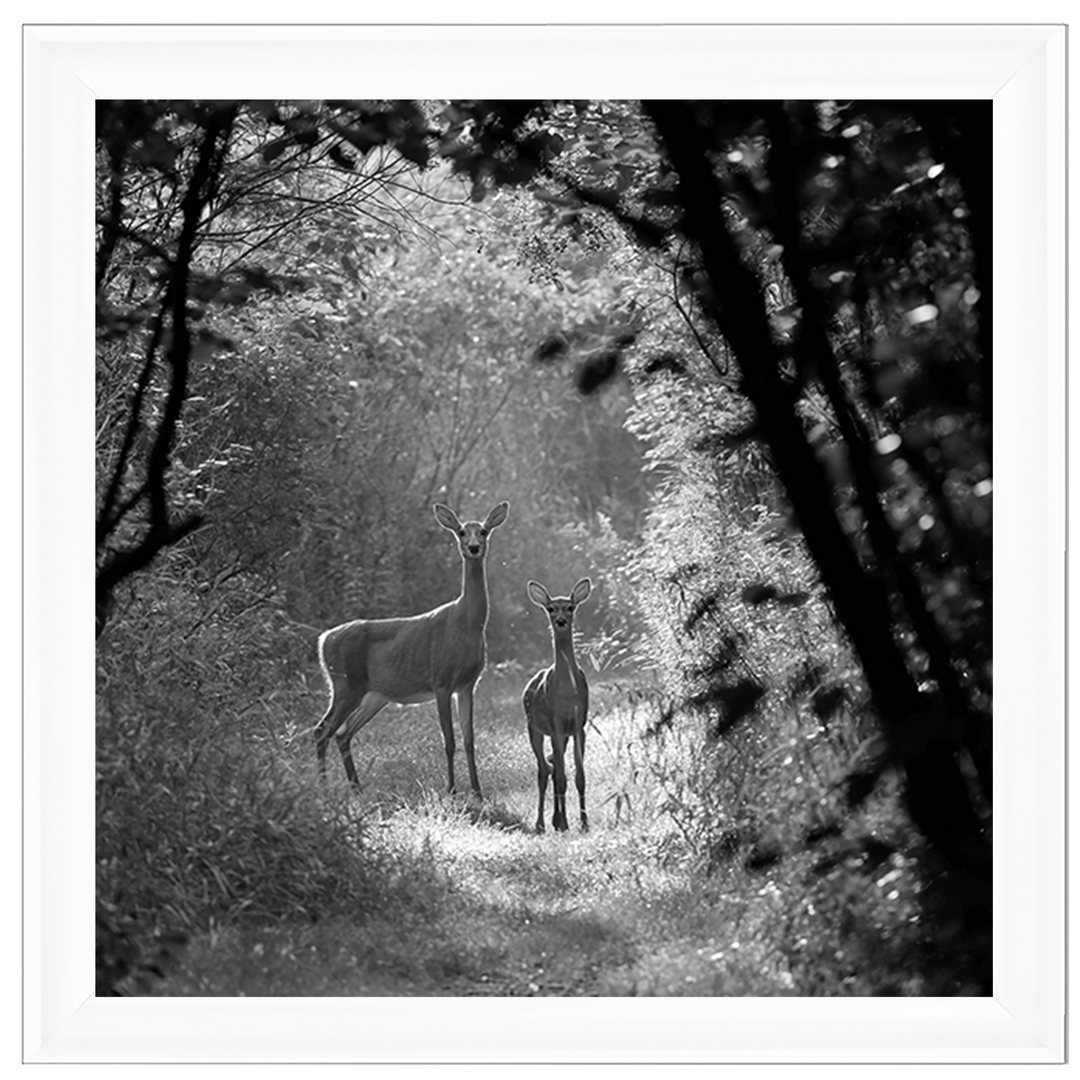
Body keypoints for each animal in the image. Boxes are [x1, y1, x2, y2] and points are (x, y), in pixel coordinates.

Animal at [314, 501, 509, 800]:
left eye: (484, 531)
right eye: (462, 532)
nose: (474, 547)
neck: (466, 624)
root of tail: (323, 640)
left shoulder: (468, 684)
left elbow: (469, 740)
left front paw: (477, 792)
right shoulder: (441, 680)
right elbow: (449, 740)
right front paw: (451, 789)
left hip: (373, 695)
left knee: (342, 733)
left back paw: (356, 788)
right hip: (345, 684)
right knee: (322, 730)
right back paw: (324, 788)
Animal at [522, 577, 592, 833]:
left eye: (570, 607)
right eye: (551, 608)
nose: (561, 620)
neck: (567, 691)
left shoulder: (578, 725)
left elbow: (579, 777)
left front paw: (584, 823)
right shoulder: (555, 725)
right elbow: (561, 776)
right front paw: (564, 823)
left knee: (552, 768)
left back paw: (555, 819)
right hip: (533, 728)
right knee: (544, 770)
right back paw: (542, 823)